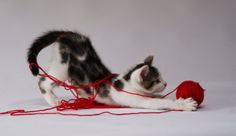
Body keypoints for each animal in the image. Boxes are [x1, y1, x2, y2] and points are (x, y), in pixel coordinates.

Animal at [27, 30, 197, 110]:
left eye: (161, 77)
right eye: (156, 80)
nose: (166, 83)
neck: (127, 82)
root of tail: (68, 35)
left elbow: (159, 97)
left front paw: (176, 98)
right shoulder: (140, 101)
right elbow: (158, 102)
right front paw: (184, 104)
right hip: (62, 67)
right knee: (42, 82)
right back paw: (53, 100)